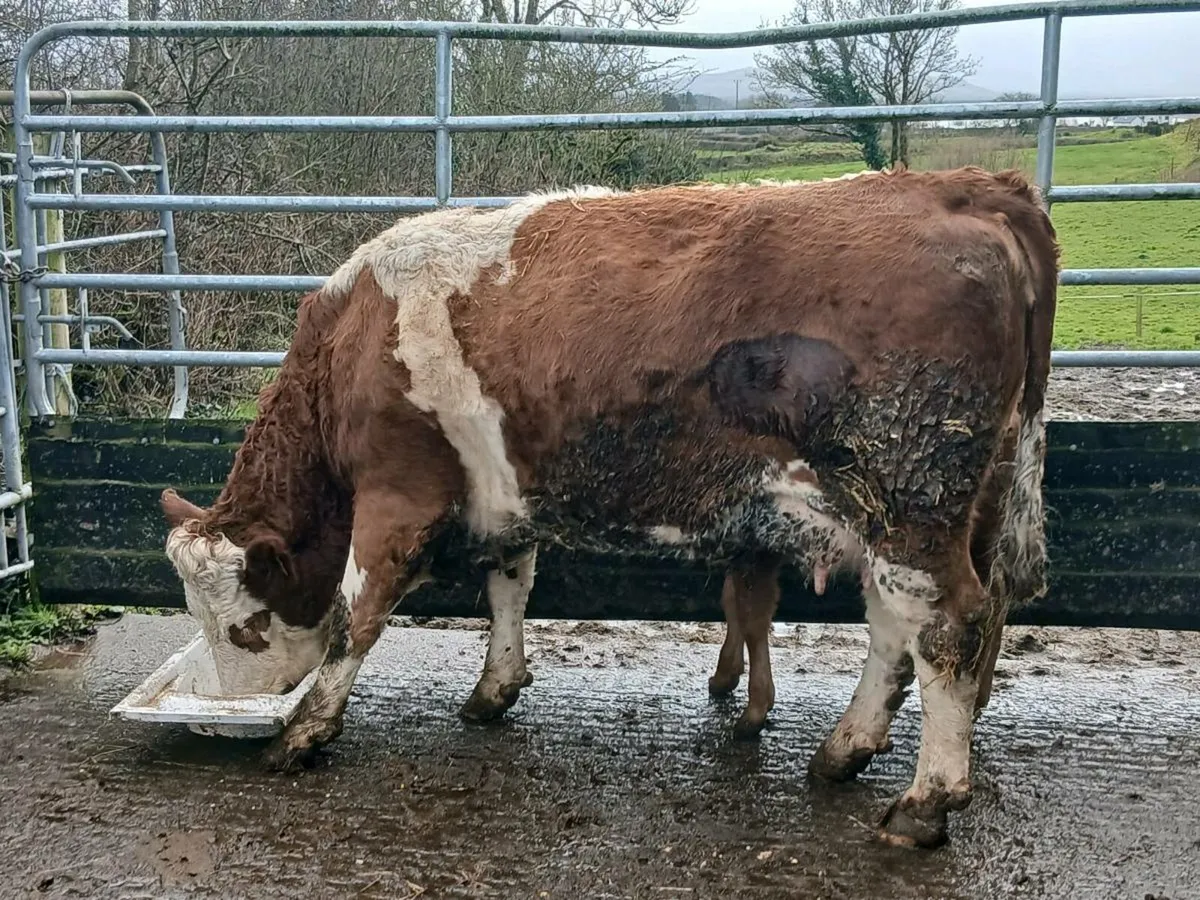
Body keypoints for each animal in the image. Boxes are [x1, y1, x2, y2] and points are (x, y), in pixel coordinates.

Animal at [160, 166, 1057, 849]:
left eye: (243, 625)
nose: (227, 703)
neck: (358, 333)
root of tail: (963, 185)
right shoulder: (503, 493)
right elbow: (508, 586)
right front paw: (495, 688)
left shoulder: (397, 495)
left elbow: (357, 617)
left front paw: (305, 730)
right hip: (903, 513)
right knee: (895, 629)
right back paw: (846, 748)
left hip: (910, 500)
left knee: (949, 628)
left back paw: (924, 802)